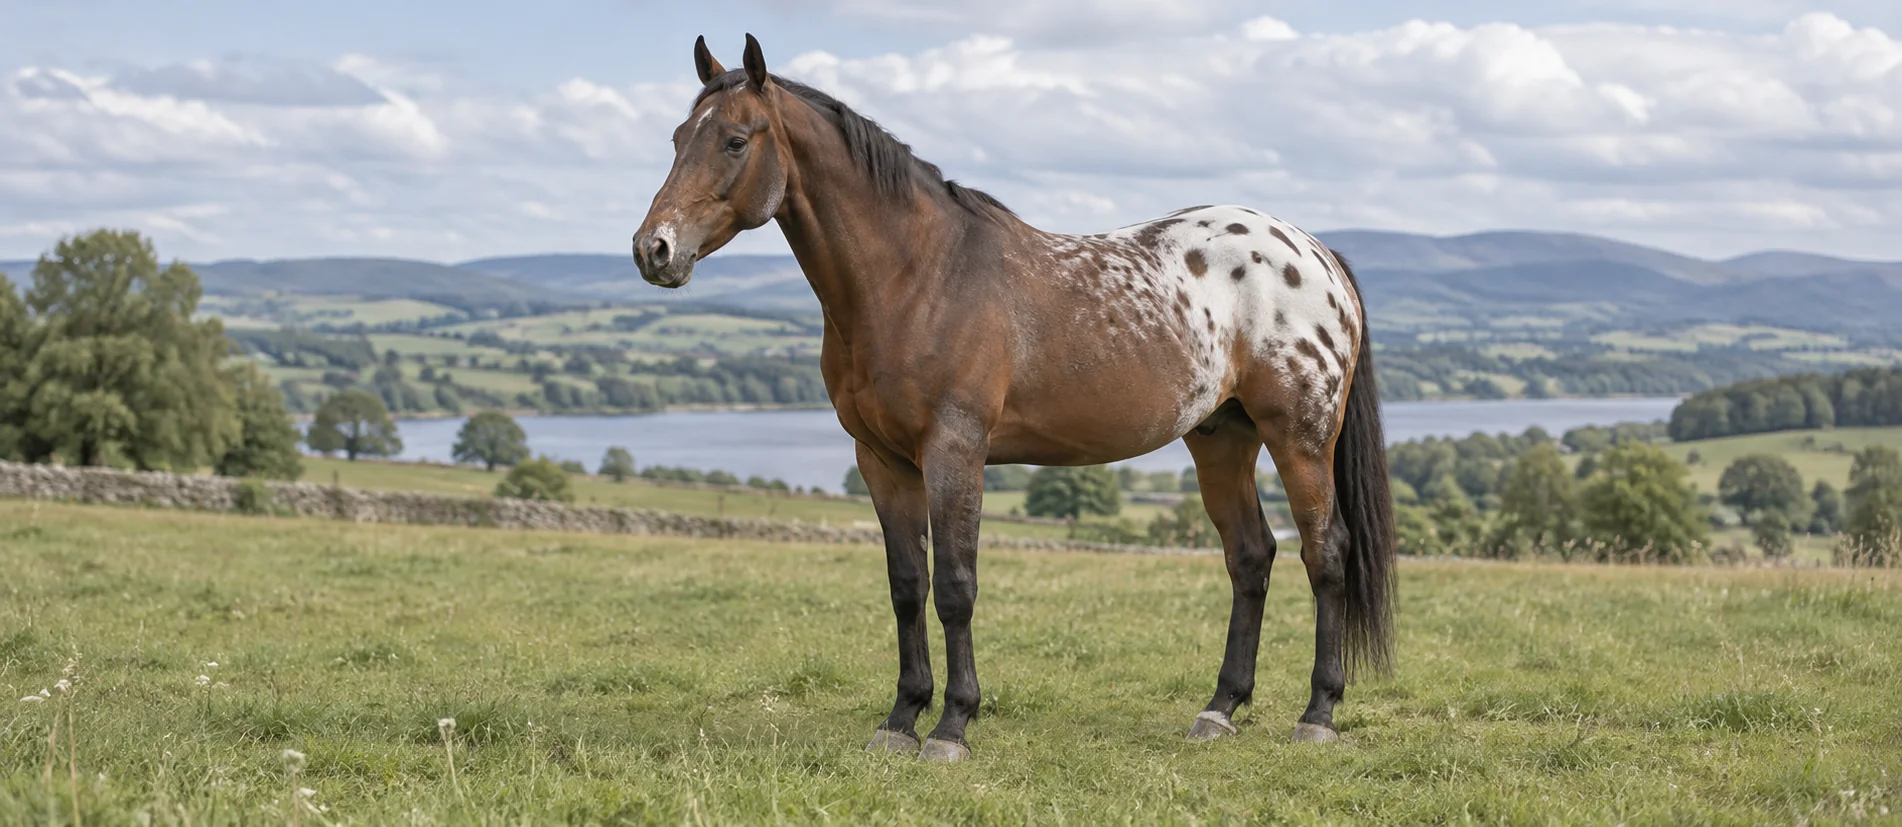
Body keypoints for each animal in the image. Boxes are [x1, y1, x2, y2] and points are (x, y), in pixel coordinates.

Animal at [633, 34, 1396, 762]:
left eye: (735, 140)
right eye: (676, 136)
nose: (653, 250)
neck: (919, 274)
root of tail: (1316, 252)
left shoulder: (955, 452)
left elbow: (955, 587)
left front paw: (952, 726)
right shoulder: (882, 460)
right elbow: (906, 586)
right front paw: (900, 719)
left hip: (1299, 436)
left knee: (1324, 553)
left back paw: (1318, 714)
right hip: (1222, 438)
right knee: (1251, 557)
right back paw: (1219, 710)